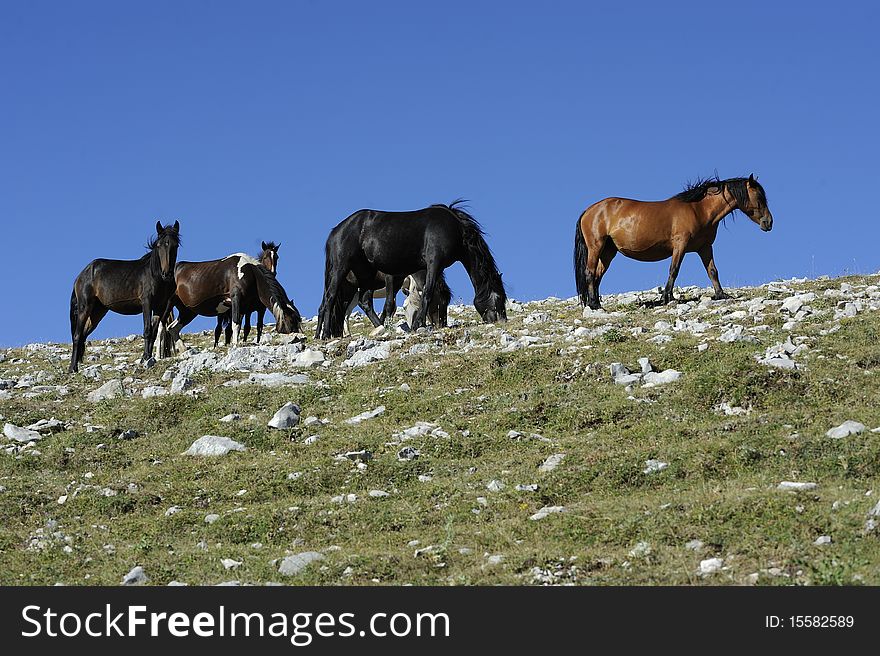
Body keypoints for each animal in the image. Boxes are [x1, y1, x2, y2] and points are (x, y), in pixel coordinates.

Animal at [69, 222, 180, 372]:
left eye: (175, 245)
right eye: (159, 245)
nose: (167, 274)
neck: (154, 274)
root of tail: (81, 275)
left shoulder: (160, 307)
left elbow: (154, 331)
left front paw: (149, 357)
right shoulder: (147, 303)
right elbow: (147, 330)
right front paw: (144, 358)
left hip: (98, 311)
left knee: (83, 335)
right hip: (84, 307)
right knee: (77, 335)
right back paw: (72, 368)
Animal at [162, 252, 302, 354]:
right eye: (291, 321)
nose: (300, 338)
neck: (250, 272)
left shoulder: (245, 306)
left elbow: (240, 325)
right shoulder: (236, 299)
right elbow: (236, 324)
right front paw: (235, 344)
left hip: (188, 311)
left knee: (172, 328)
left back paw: (184, 349)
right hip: (171, 305)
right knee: (163, 326)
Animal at [316, 200, 508, 338]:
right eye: (498, 298)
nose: (502, 321)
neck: (455, 228)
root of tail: (335, 231)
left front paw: (419, 324)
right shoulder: (433, 263)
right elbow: (427, 293)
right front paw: (417, 325)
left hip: (364, 276)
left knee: (360, 302)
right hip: (340, 270)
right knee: (330, 299)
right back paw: (325, 335)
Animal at [576, 173, 772, 308]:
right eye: (759, 197)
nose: (769, 223)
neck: (698, 210)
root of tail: (589, 210)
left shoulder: (705, 247)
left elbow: (712, 271)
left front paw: (721, 295)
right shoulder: (680, 245)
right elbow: (674, 270)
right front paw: (667, 297)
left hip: (608, 251)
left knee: (598, 275)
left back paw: (597, 303)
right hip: (596, 246)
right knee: (590, 272)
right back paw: (594, 304)